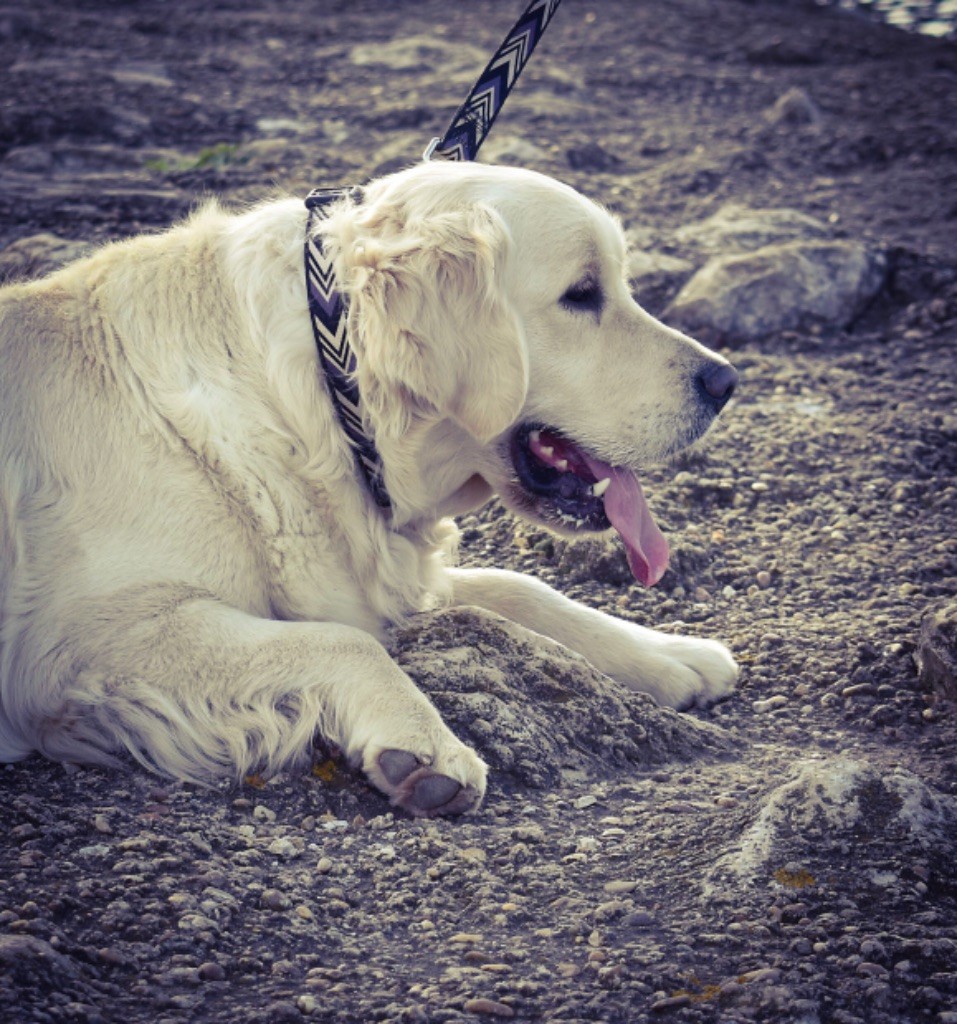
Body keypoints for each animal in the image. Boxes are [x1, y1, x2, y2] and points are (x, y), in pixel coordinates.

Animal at [0, 159, 741, 815]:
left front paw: (669, 654)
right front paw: (424, 744)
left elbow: (518, 585)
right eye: (581, 293)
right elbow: (339, 638)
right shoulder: (78, 644)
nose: (726, 382)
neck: (323, 402)